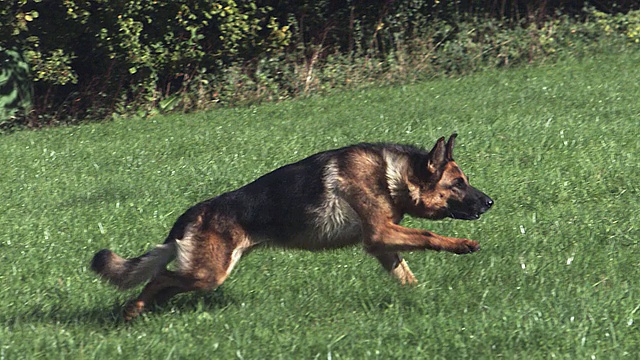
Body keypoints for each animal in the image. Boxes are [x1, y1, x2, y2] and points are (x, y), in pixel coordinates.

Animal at [90, 134, 492, 320]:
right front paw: (463, 244)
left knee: (163, 283)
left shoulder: (382, 245)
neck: (392, 175)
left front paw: (419, 297)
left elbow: (406, 275)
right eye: (458, 184)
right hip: (209, 274)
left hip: (206, 273)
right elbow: (428, 235)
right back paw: (131, 311)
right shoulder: (381, 233)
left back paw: (138, 311)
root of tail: (188, 216)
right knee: (159, 278)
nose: (490, 202)